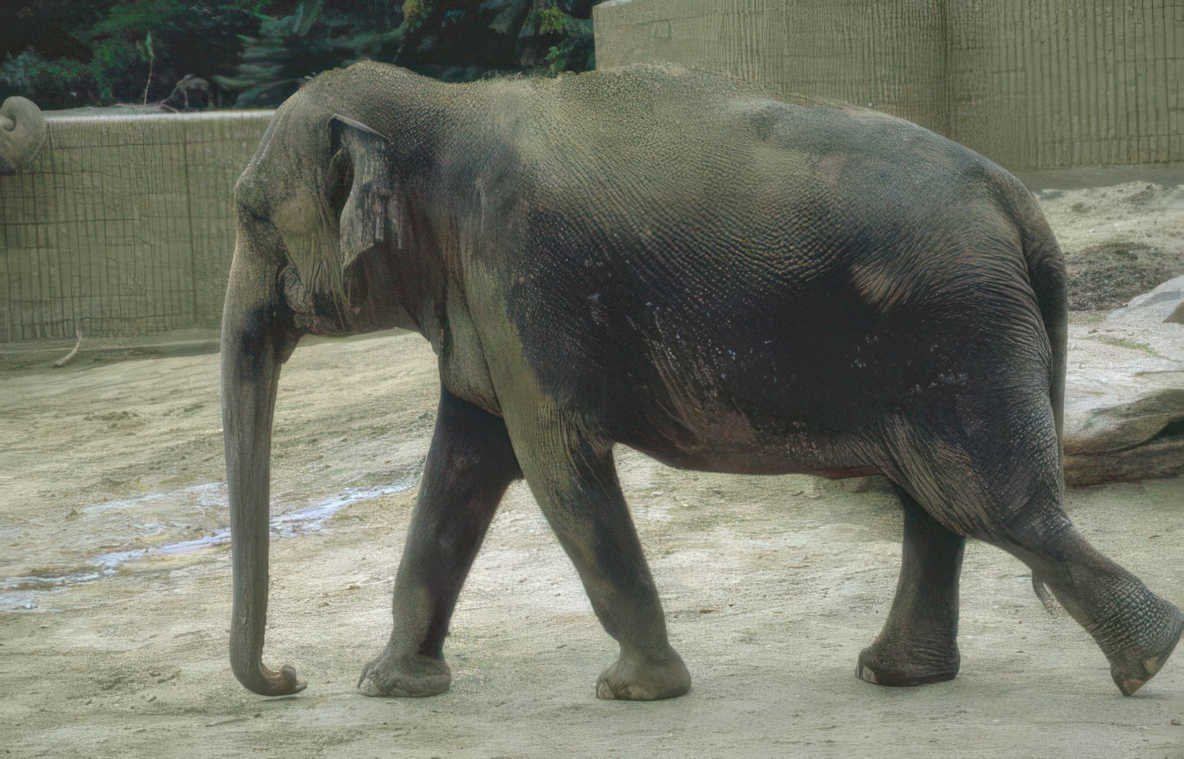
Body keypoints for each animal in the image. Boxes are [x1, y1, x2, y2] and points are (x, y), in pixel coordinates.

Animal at [221, 61, 1183, 701]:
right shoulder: (482, 303)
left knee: (989, 501)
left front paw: (635, 689)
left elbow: (554, 460)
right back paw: (898, 674)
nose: (289, 674)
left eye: (251, 215)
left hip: (958, 323)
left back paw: (1146, 660)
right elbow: (462, 465)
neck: (438, 102)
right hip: (949, 329)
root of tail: (1019, 200)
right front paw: (390, 685)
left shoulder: (520, 281)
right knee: (940, 501)